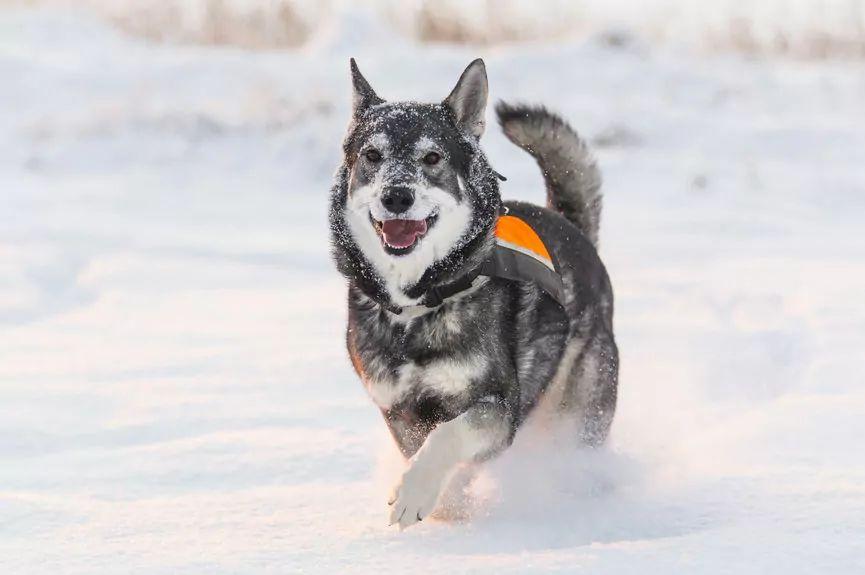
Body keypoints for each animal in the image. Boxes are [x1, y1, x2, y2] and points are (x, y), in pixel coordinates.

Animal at [328, 59, 616, 532]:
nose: (396, 196)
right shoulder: (399, 410)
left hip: (578, 410)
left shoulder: (497, 405)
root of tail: (570, 227)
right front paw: (447, 506)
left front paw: (416, 493)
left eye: (432, 157)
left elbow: (450, 436)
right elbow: (428, 450)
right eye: (372, 156)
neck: (416, 305)